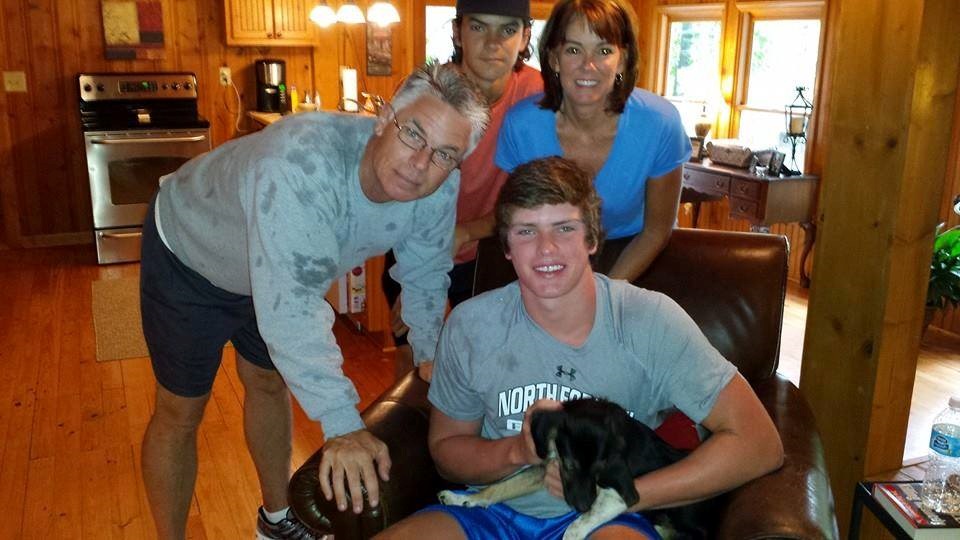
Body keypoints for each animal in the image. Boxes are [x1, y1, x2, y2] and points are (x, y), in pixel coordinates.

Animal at [438, 398, 712, 540]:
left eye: (599, 470)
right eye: (569, 466)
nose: (581, 506)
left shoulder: (619, 495)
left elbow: (576, 526)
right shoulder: (544, 465)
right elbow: (500, 487)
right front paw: (462, 499)